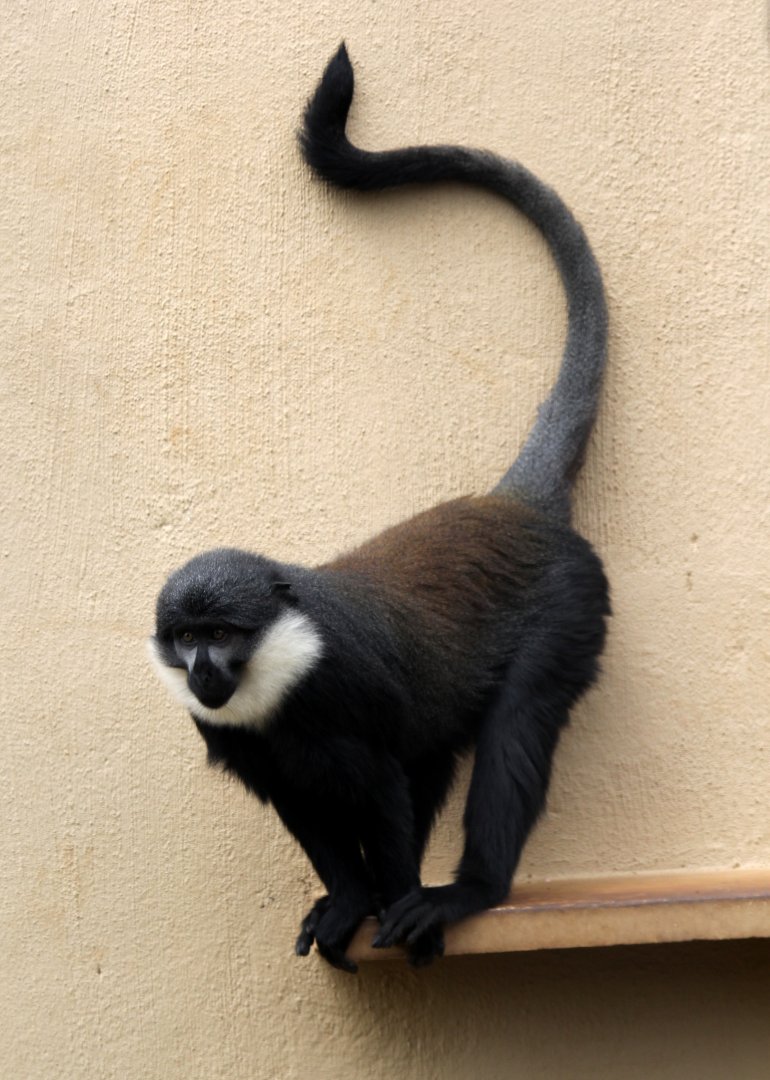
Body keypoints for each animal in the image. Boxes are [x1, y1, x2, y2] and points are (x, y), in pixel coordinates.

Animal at [148, 43, 610, 972]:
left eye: (221, 633)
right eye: (184, 638)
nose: (205, 670)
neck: (280, 669)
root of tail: (514, 506)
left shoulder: (345, 701)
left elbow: (384, 795)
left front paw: (397, 903)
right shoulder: (254, 748)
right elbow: (314, 815)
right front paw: (351, 902)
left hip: (570, 609)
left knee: (515, 726)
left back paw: (471, 891)